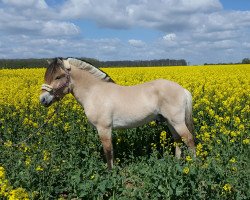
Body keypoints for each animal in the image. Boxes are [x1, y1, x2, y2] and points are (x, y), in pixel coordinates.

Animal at [39, 57, 195, 169]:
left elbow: (108, 151)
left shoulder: (104, 128)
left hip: (177, 122)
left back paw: (195, 165)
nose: (43, 99)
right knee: (178, 140)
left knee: (189, 139)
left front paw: (110, 172)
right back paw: (176, 163)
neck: (94, 92)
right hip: (170, 122)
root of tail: (182, 90)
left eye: (58, 76)